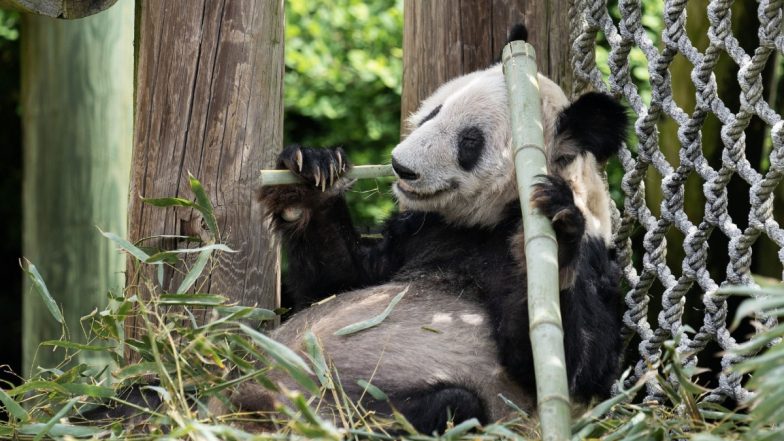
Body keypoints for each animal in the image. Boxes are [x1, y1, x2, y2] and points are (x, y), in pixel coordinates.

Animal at [243, 35, 627, 434]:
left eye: (470, 140)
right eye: (435, 112)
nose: (401, 167)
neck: (488, 220)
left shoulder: (593, 260)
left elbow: (573, 366)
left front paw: (559, 230)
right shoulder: (422, 231)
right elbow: (336, 283)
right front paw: (311, 173)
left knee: (451, 405)